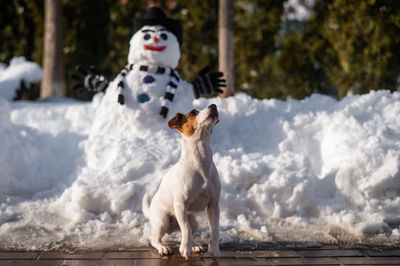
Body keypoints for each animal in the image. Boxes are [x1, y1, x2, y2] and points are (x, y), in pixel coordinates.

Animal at [142, 103, 220, 258]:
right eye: (193, 113)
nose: (213, 105)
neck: (200, 161)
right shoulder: (180, 205)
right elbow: (186, 230)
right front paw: (185, 249)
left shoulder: (214, 205)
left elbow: (214, 229)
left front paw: (214, 248)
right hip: (162, 221)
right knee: (156, 239)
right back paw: (163, 248)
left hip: (193, 220)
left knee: (187, 231)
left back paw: (194, 245)